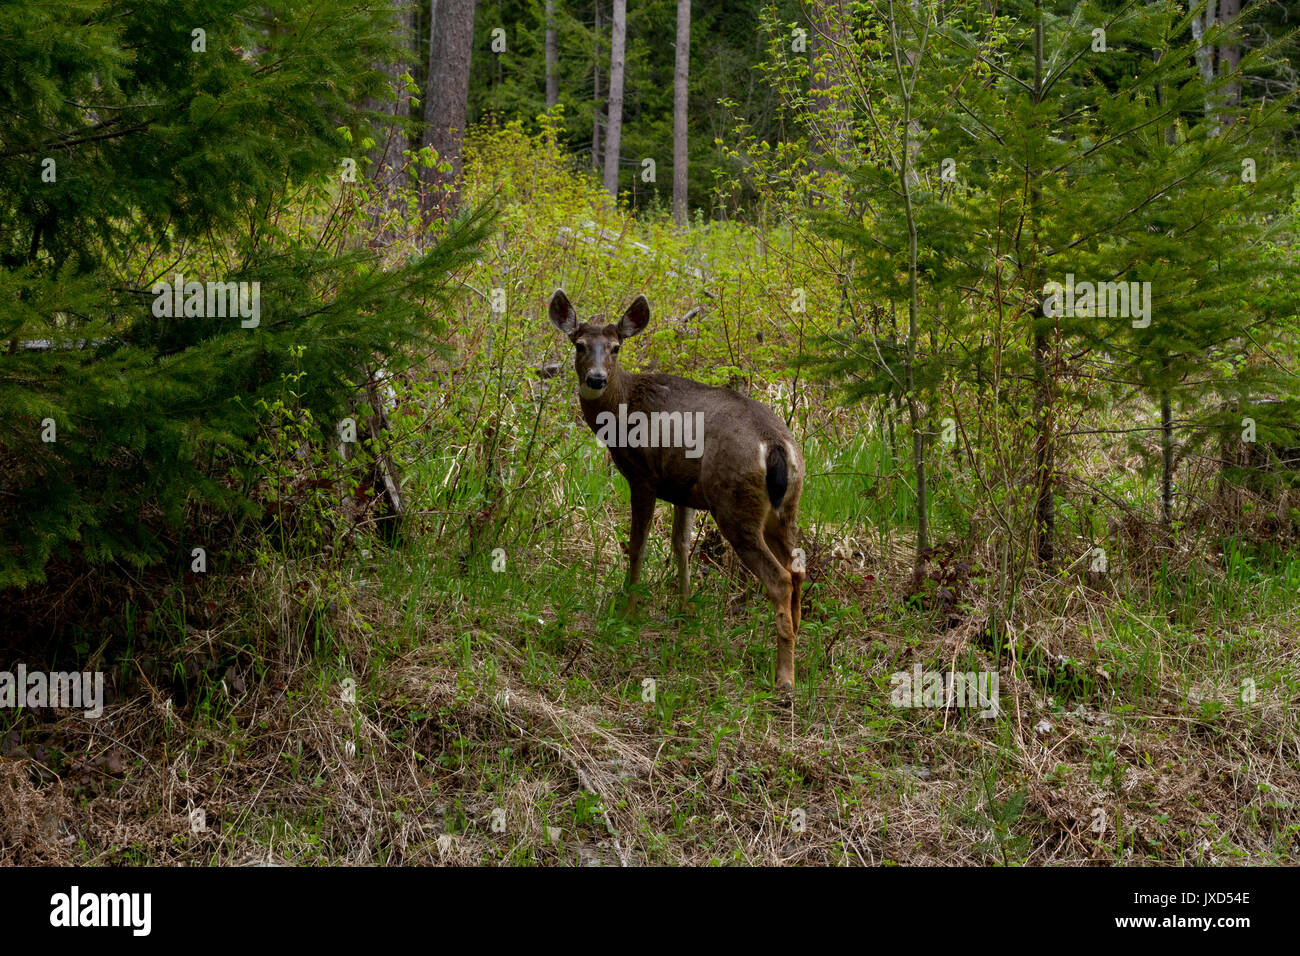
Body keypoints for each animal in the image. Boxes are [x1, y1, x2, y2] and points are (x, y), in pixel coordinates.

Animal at [546, 287, 806, 691]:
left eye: (616, 347)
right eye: (579, 344)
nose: (596, 379)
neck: (622, 407)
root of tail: (776, 445)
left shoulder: (643, 476)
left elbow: (637, 546)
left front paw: (629, 609)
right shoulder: (683, 488)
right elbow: (681, 544)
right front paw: (684, 610)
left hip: (734, 505)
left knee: (779, 579)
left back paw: (784, 678)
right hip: (785, 508)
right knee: (798, 571)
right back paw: (797, 649)